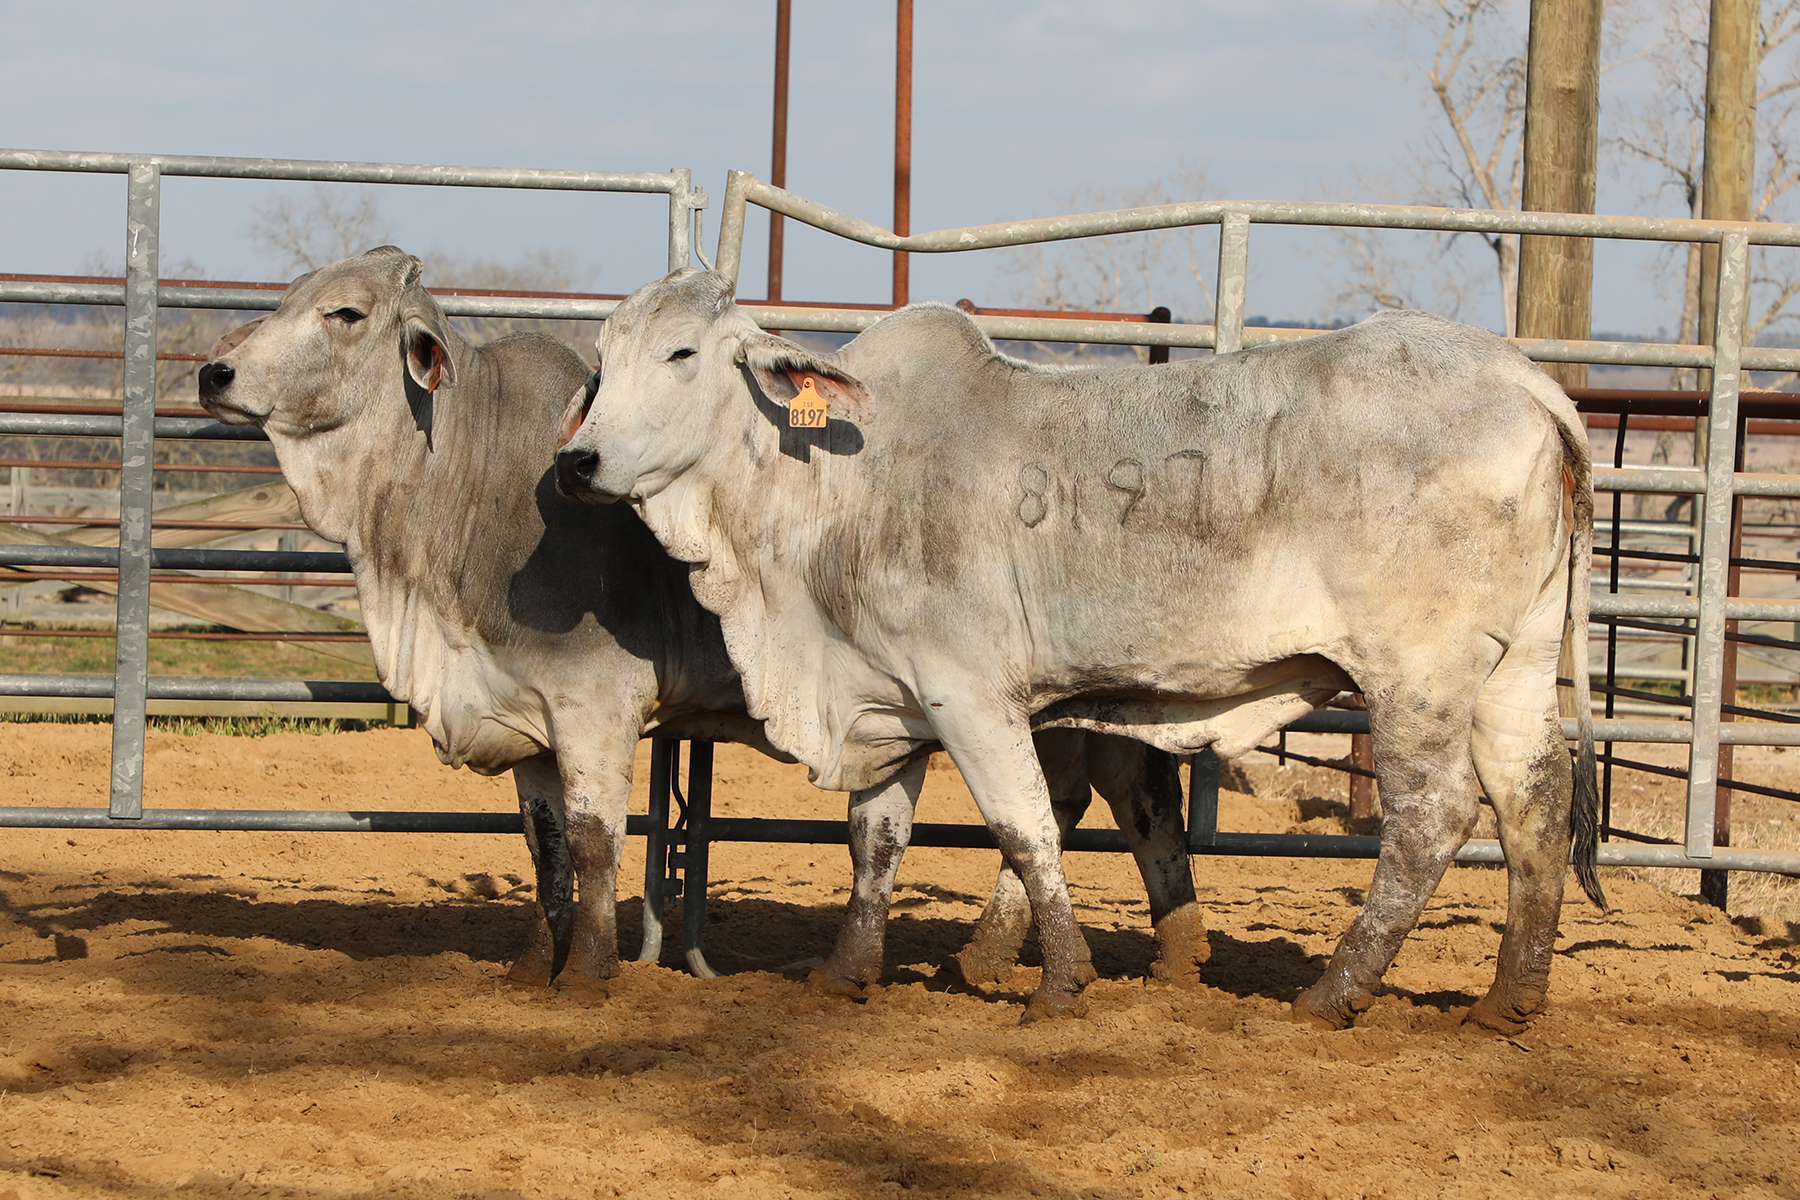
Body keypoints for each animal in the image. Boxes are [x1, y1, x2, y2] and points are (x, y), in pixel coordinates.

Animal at [193, 246, 1209, 993]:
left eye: (345, 313)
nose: (212, 370)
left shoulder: (594, 706)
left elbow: (596, 842)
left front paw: (591, 974)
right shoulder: (526, 721)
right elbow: (542, 846)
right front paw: (530, 968)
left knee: (1112, 798)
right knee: (1111, 798)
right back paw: (1134, 957)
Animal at [558, 268, 1605, 1029]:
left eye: (684, 352)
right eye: (602, 360)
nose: (578, 461)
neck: (837, 482)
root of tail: (1521, 377)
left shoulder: (969, 695)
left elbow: (1024, 827)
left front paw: (1060, 983)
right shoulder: (888, 695)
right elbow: (875, 840)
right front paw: (845, 974)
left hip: (1415, 676)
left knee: (1433, 818)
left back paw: (1334, 992)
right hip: (1514, 668)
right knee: (1535, 800)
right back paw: (1510, 999)